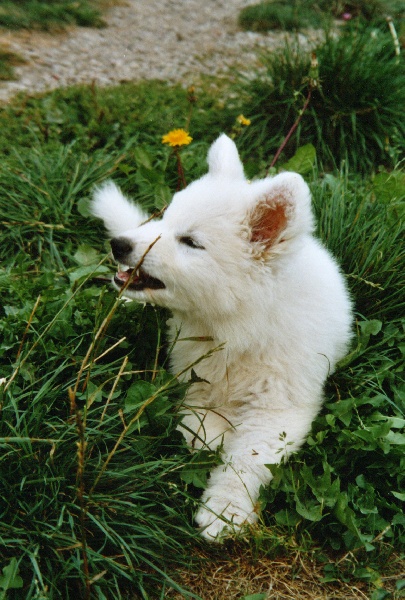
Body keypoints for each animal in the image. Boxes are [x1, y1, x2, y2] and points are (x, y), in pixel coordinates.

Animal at [90, 136, 350, 544]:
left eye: (191, 242)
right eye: (165, 218)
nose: (119, 244)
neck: (236, 326)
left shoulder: (278, 409)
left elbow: (248, 458)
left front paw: (225, 509)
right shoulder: (197, 374)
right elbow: (202, 420)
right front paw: (210, 439)